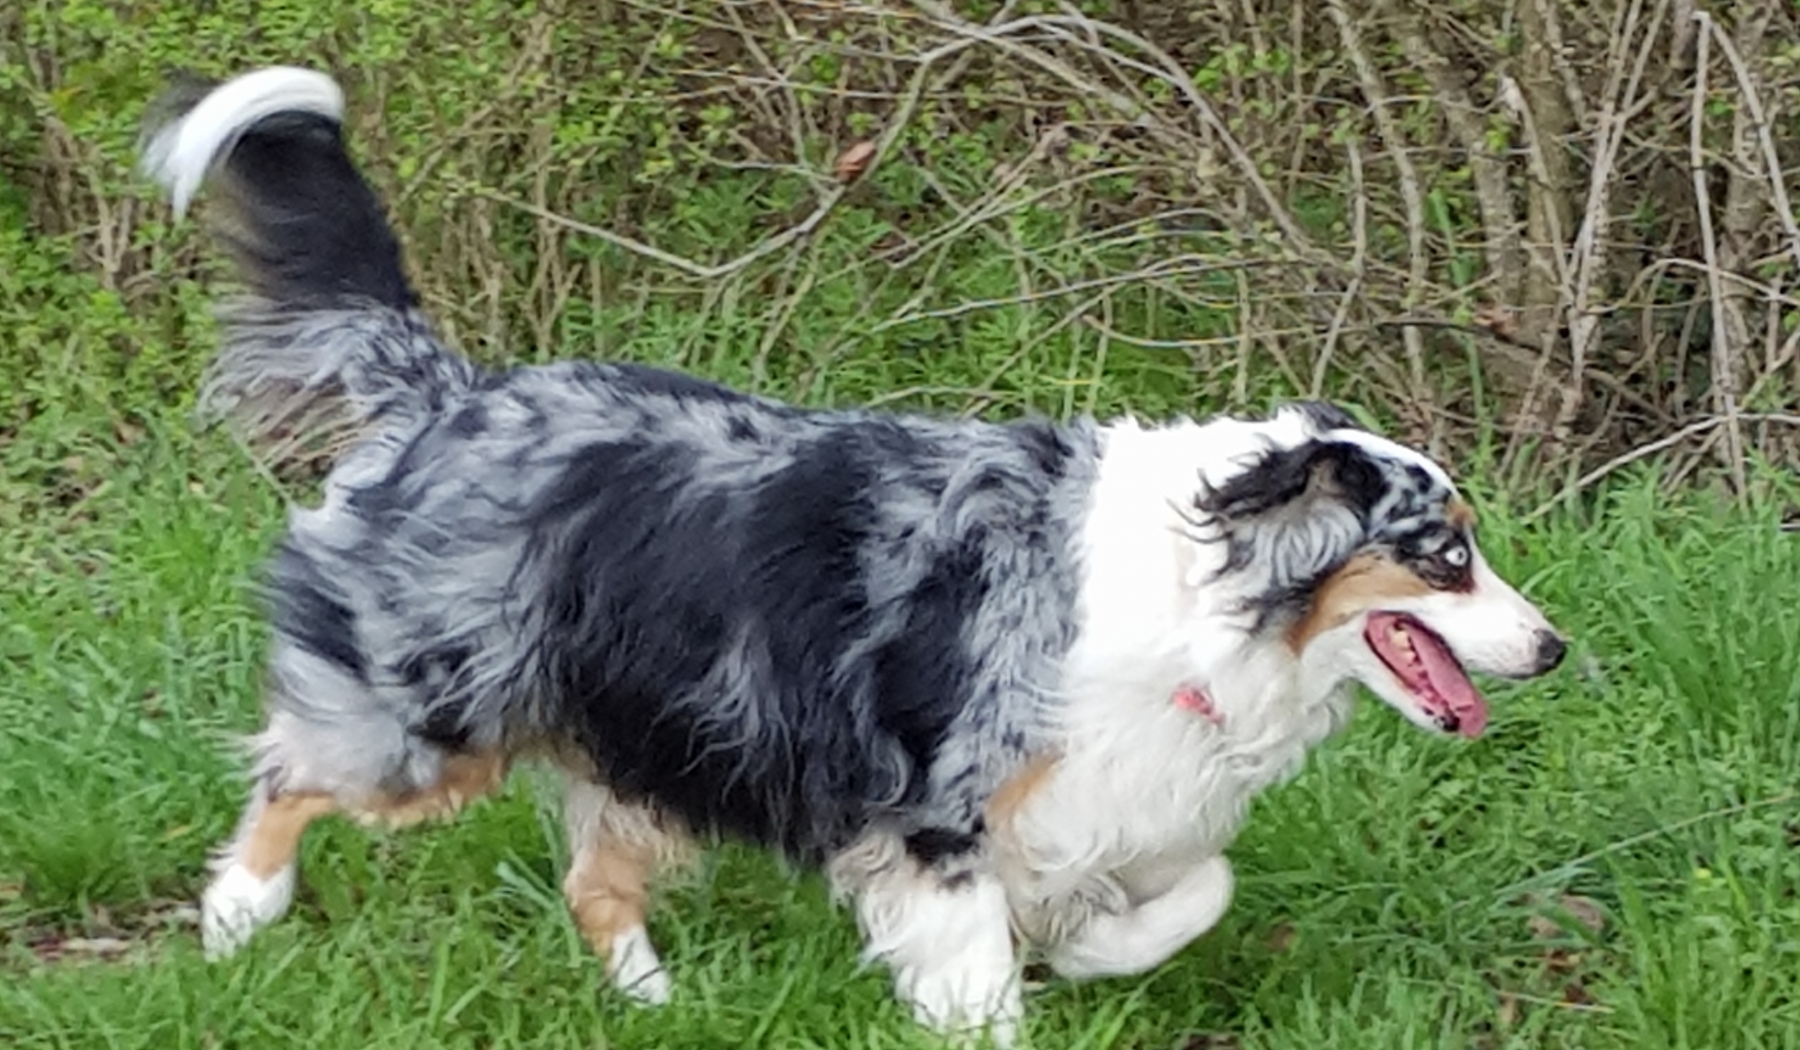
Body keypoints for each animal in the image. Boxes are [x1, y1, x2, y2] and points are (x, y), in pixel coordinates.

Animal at [147, 67, 1569, 1044]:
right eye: (1445, 555)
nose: (1556, 647)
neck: (1206, 591)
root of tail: (449, 391)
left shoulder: (1112, 802)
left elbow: (1190, 893)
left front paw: (1095, 955)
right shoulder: (936, 812)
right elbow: (984, 973)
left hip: (655, 742)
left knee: (597, 886)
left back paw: (660, 1005)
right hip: (439, 715)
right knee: (292, 776)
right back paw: (235, 924)